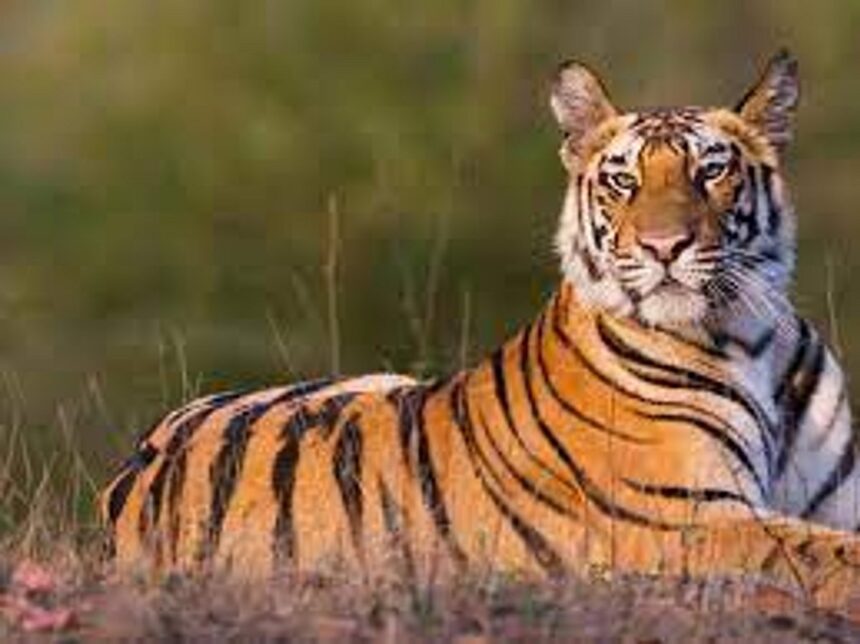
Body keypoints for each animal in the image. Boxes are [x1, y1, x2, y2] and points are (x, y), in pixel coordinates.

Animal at [101, 50, 860, 607]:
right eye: (623, 181)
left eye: (711, 171)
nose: (664, 246)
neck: (749, 338)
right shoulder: (683, 517)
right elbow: (821, 553)